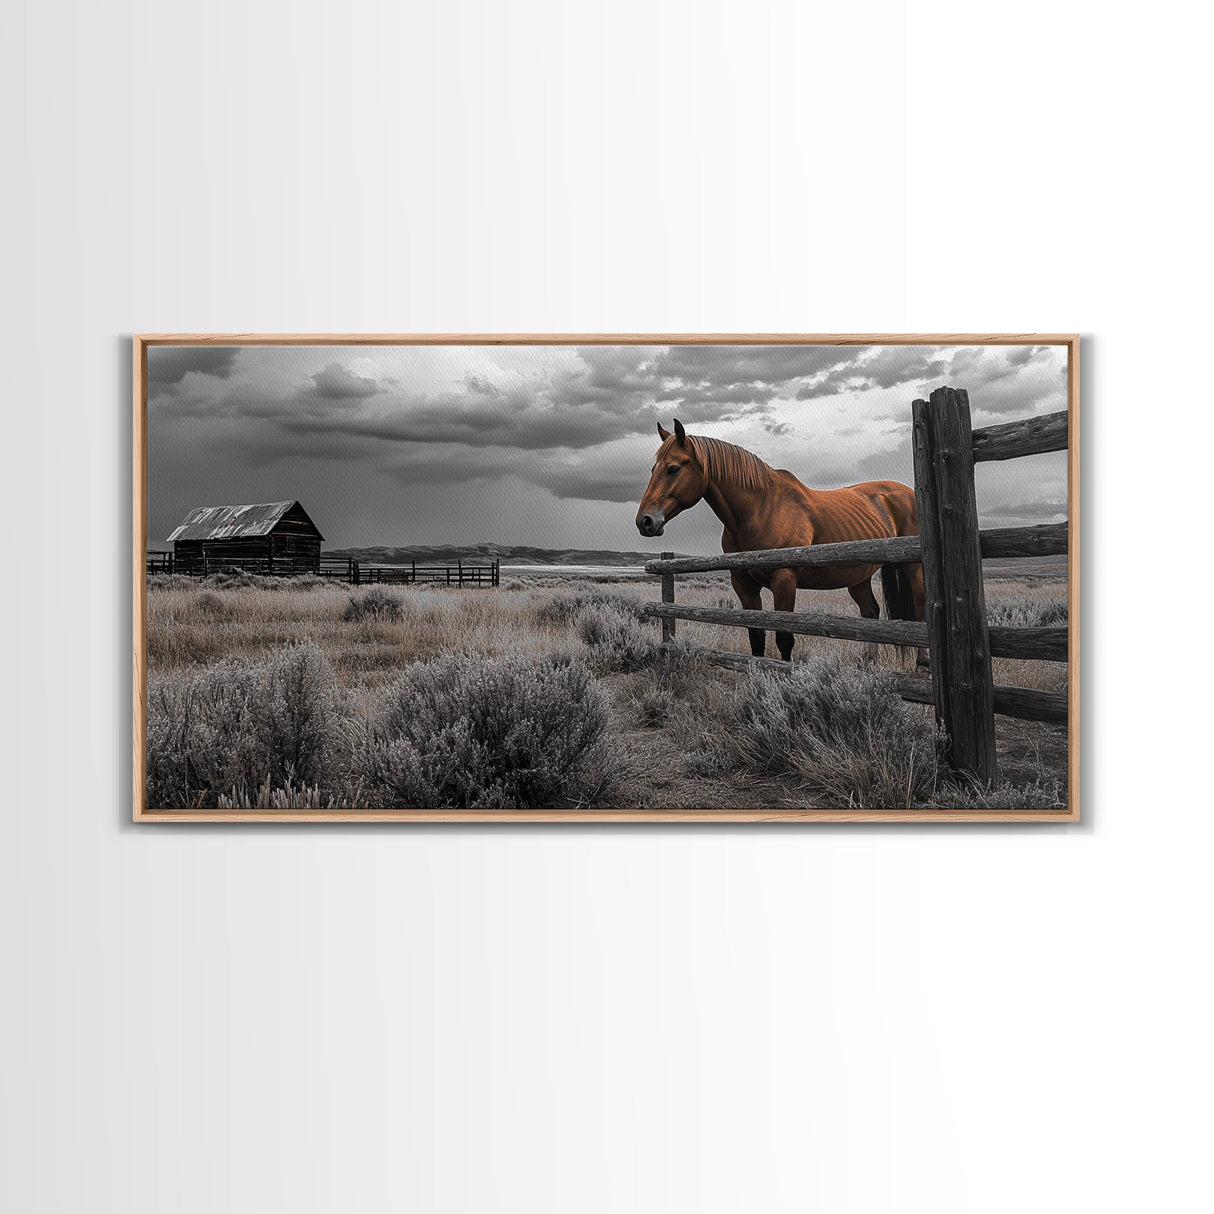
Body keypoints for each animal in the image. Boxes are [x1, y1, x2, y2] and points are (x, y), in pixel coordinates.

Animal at [635, 419, 926, 662]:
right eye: (652, 469)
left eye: (673, 469)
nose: (644, 521)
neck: (759, 510)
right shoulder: (744, 585)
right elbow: (756, 638)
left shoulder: (784, 581)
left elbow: (784, 639)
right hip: (859, 577)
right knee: (870, 614)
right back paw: (869, 662)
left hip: (914, 568)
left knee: (920, 611)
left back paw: (921, 663)